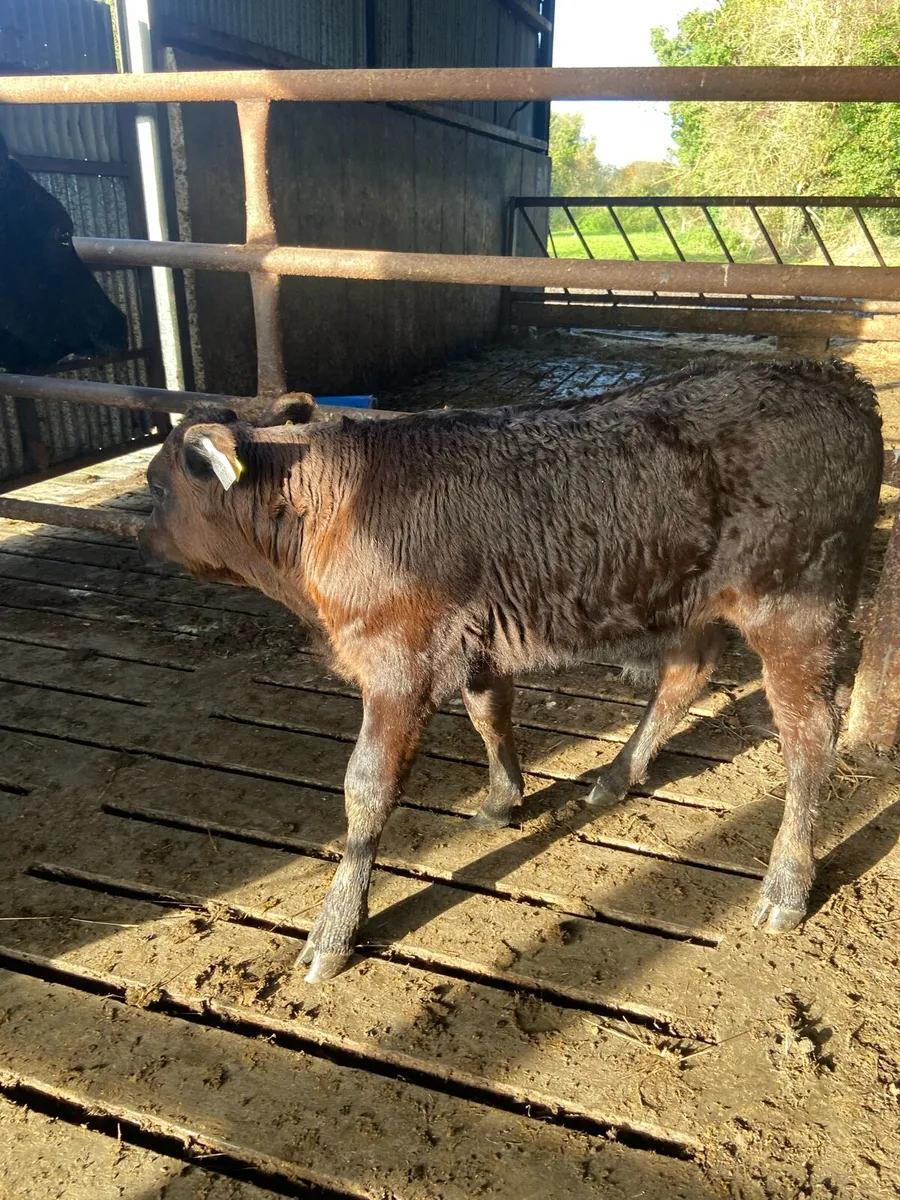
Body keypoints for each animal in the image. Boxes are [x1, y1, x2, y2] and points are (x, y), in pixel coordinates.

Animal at [139, 358, 883, 984]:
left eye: (155, 485)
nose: (139, 536)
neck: (329, 509)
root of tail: (836, 383)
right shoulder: (474, 641)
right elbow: (490, 715)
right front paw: (504, 798)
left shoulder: (397, 665)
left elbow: (367, 789)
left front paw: (334, 930)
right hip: (688, 596)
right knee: (687, 673)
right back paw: (617, 775)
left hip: (797, 607)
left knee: (809, 736)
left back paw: (787, 884)